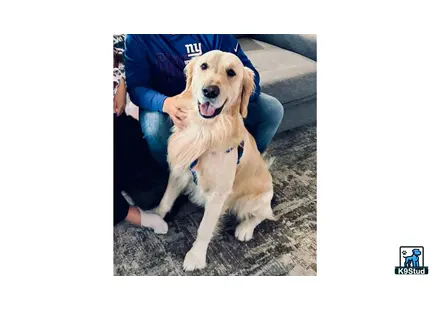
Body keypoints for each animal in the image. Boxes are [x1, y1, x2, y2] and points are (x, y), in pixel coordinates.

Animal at [155, 49, 276, 270]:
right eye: (204, 66)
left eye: (231, 72)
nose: (210, 91)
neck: (205, 130)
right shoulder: (179, 170)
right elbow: (165, 200)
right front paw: (153, 217)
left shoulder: (218, 194)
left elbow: (204, 228)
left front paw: (196, 257)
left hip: (252, 199)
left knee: (264, 214)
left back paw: (245, 229)